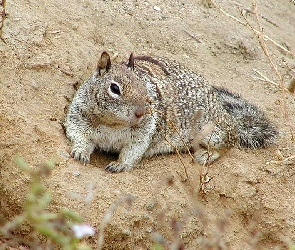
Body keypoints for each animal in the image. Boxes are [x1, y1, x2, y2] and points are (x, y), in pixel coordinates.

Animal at [64, 50, 278, 172]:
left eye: (145, 88)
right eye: (114, 88)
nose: (141, 113)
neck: (113, 124)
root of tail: (225, 113)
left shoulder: (143, 133)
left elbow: (133, 151)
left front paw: (120, 164)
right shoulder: (78, 117)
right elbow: (78, 136)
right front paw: (80, 152)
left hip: (211, 132)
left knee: (228, 143)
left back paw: (204, 156)